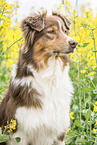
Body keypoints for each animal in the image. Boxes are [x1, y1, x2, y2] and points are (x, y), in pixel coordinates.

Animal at [0, 11, 77, 144]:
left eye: (65, 31)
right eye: (51, 31)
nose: (74, 43)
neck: (49, 77)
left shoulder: (59, 133)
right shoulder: (19, 133)